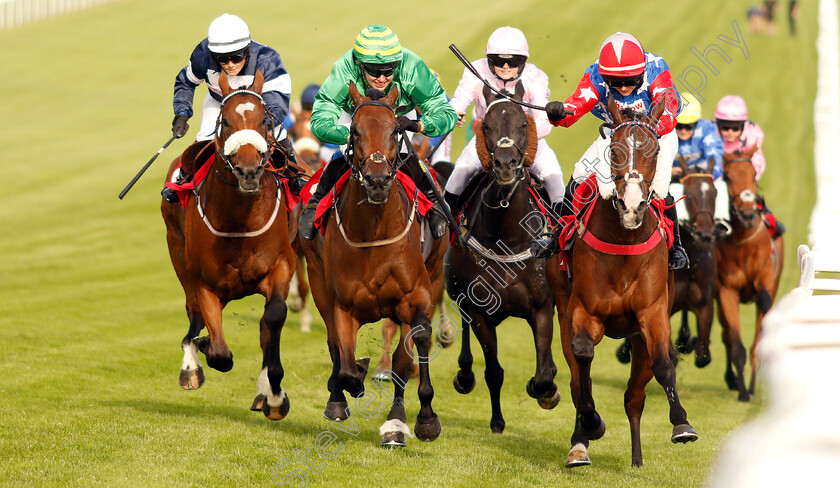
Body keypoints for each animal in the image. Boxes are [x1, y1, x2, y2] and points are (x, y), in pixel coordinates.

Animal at [161, 70, 296, 422]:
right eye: (226, 122)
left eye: (263, 120)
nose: (248, 172)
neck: (240, 220)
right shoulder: (205, 282)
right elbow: (220, 353)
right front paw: (203, 348)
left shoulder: (282, 265)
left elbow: (273, 318)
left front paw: (274, 394)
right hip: (177, 251)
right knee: (192, 310)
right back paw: (191, 364)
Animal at [304, 83, 446, 446]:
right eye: (355, 131)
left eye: (396, 130)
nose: (378, 181)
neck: (375, 233)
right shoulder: (341, 303)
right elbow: (344, 363)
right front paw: (351, 382)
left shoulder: (416, 296)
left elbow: (409, 352)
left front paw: (418, 420)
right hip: (316, 279)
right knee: (334, 347)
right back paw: (338, 398)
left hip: (435, 272)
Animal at [442, 82, 560, 432]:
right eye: (488, 126)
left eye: (523, 123)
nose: (506, 164)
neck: (507, 237)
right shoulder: (480, 310)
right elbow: (494, 371)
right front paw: (497, 421)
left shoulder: (542, 306)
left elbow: (543, 374)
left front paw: (544, 389)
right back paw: (464, 374)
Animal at [544, 93, 696, 468]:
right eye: (614, 149)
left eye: (653, 151)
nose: (631, 206)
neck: (624, 242)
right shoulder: (583, 311)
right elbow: (582, 361)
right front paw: (591, 424)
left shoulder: (653, 313)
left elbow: (664, 365)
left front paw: (682, 424)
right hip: (564, 311)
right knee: (577, 380)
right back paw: (580, 443)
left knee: (634, 396)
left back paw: (637, 458)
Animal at [720, 147, 784, 402]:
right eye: (727, 176)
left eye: (754, 173)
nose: (747, 214)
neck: (743, 240)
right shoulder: (726, 290)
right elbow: (735, 343)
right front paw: (743, 392)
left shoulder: (765, 283)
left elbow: (764, 308)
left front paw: (754, 386)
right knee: (726, 335)